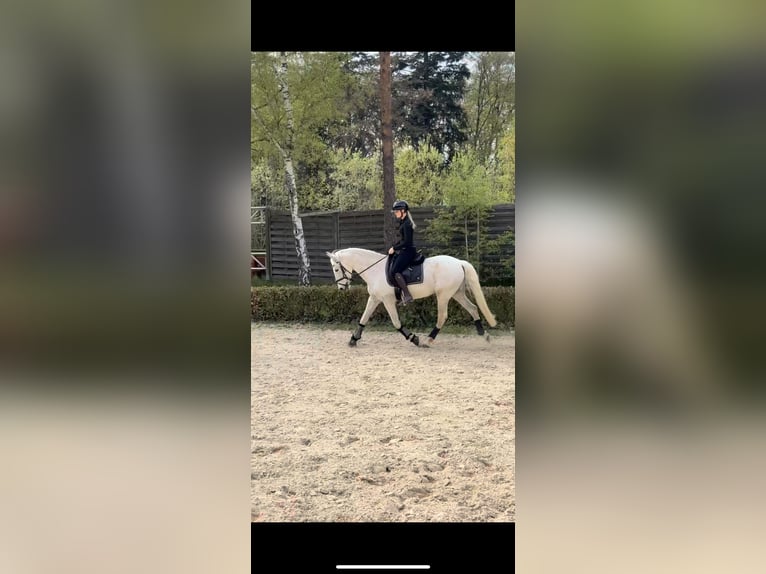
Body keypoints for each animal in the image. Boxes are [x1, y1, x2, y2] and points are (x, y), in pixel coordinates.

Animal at [326, 247, 497, 347]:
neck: (375, 270)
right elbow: (363, 318)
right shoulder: (374, 298)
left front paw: (413, 338)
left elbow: (396, 323)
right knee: (473, 309)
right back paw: (485, 335)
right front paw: (353, 339)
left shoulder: (387, 300)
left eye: (336, 268)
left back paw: (428, 340)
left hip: (443, 295)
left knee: (442, 316)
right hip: (457, 293)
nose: (341, 288)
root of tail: (459, 263)